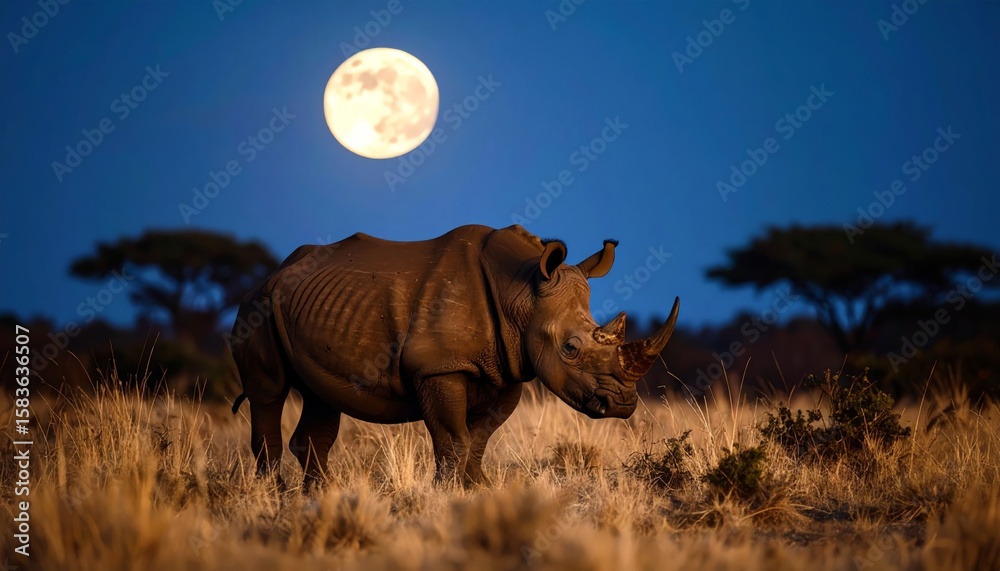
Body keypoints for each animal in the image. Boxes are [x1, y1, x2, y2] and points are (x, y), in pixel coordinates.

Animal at [230, 224, 679, 487]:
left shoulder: (506, 370)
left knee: (320, 398)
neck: (522, 292)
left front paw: (479, 488)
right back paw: (273, 493)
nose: (623, 404)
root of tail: (273, 274)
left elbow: (478, 439)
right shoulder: (438, 368)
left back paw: (321, 495)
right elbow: (453, 437)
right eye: (570, 348)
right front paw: (444, 493)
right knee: (269, 392)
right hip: (258, 306)